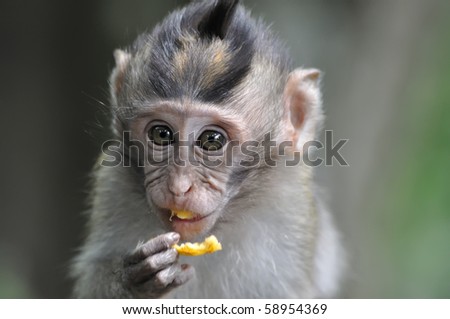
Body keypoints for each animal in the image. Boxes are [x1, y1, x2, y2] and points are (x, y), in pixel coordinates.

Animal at [72, 0, 342, 300]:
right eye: (161, 134)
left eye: (212, 140)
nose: (179, 187)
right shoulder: (113, 186)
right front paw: (132, 282)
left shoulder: (292, 207)